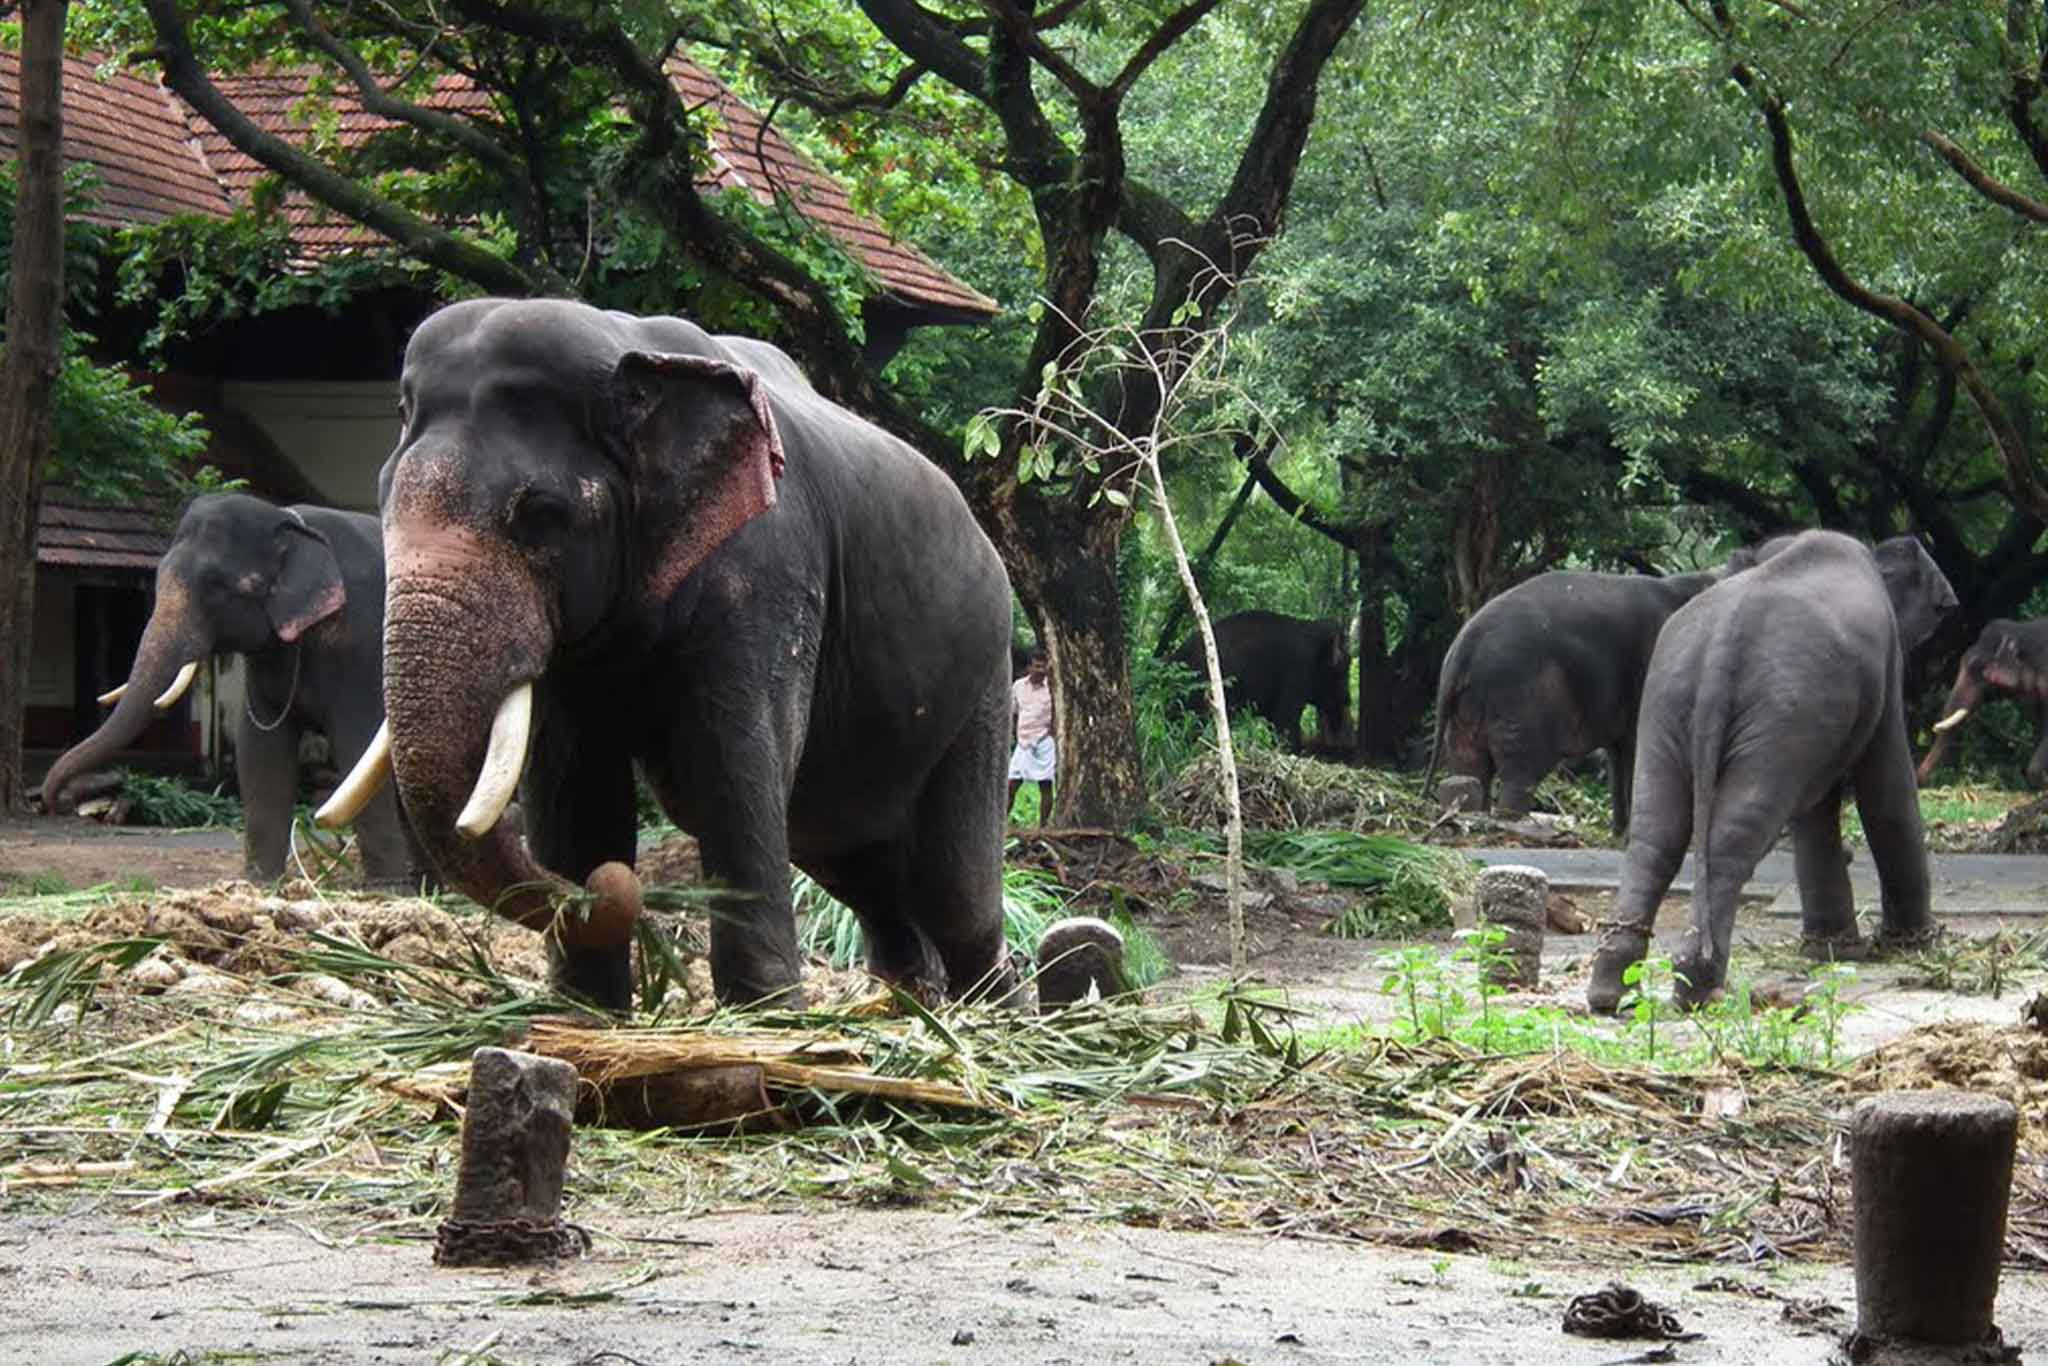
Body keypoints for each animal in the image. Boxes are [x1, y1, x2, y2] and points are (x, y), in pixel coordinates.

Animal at [38, 491, 423, 888]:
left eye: (217, 587)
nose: (59, 802)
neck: (287, 522)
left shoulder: (359, 648)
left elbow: (355, 743)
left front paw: (386, 891)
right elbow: (260, 749)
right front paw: (261, 883)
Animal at [1425, 565, 1728, 835]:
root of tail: (1462, 648)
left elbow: (1622, 753)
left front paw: (1620, 834)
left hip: (1469, 709)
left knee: (1471, 769)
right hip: (1521, 700)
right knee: (1520, 772)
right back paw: (1511, 824)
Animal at [1581, 532, 1949, 1015]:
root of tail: (1721, 643)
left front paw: (1831, 950)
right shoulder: (1883, 670)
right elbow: (1886, 790)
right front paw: (1912, 947)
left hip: (1673, 703)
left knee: (1655, 833)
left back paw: (1612, 993)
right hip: (1776, 711)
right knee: (1735, 835)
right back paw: (1700, 989)